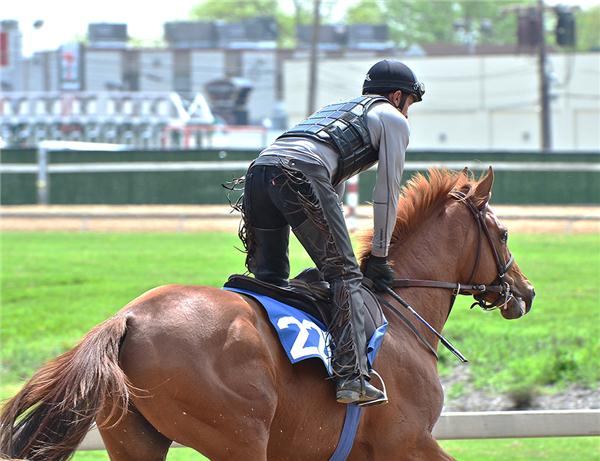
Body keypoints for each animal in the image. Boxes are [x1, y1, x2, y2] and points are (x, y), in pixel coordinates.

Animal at [0, 168, 536, 460]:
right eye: (504, 232)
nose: (525, 291)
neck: (398, 313)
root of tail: (127, 319)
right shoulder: (407, 443)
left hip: (134, 440)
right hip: (237, 438)